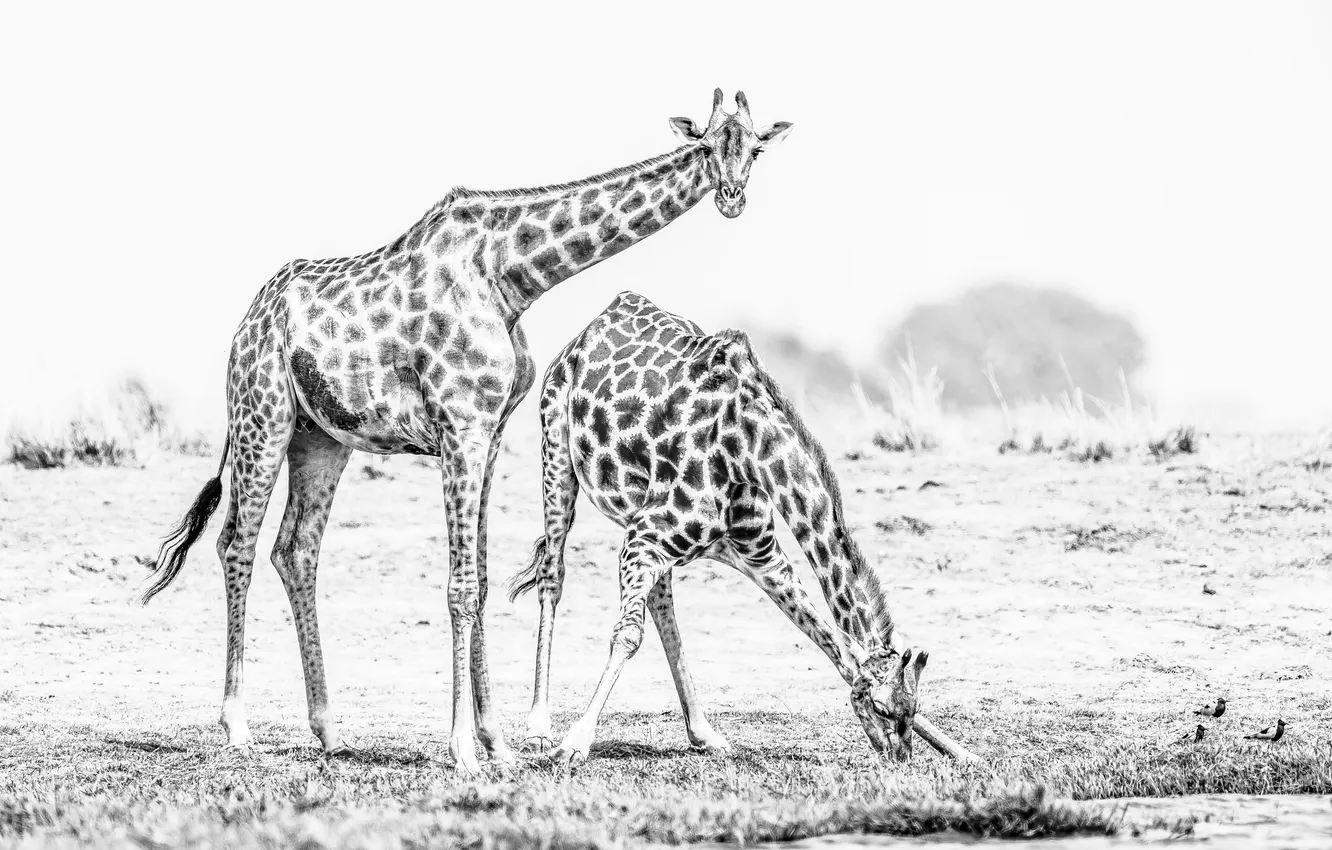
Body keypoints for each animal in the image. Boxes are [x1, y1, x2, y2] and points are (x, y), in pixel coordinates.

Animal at [138, 90, 794, 776]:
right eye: (707, 144)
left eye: (754, 148)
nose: (731, 195)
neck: (510, 276)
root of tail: (247, 322)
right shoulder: (460, 427)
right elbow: (459, 587)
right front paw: (462, 750)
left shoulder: (492, 433)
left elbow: (478, 579)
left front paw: (496, 742)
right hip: (261, 415)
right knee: (235, 545)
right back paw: (237, 727)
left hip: (321, 439)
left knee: (295, 550)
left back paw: (330, 730)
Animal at [507, 292, 976, 764]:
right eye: (880, 707)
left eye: (910, 709)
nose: (897, 758)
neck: (749, 450)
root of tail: (594, 324)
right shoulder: (643, 539)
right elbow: (627, 635)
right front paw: (574, 743)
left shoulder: (761, 556)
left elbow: (834, 646)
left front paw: (962, 753)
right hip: (556, 452)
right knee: (553, 574)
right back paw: (538, 730)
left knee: (662, 603)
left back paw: (704, 733)